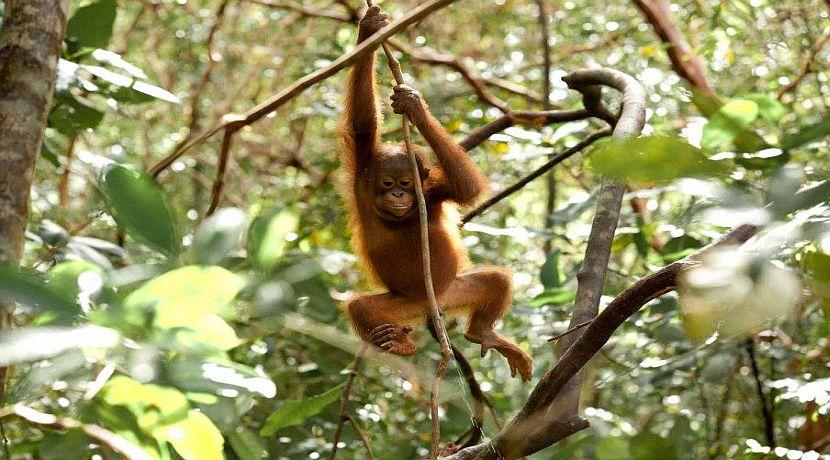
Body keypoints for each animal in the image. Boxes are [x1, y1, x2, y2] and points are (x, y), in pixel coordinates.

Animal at [337, 6, 532, 381]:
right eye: (388, 184)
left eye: (406, 184)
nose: (398, 197)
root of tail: (433, 308)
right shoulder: (361, 178)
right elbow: (363, 125)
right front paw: (368, 30)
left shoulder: (434, 193)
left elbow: (467, 188)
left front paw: (415, 108)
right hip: (404, 306)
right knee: (362, 307)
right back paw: (400, 345)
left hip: (452, 289)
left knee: (494, 279)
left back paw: (482, 333)